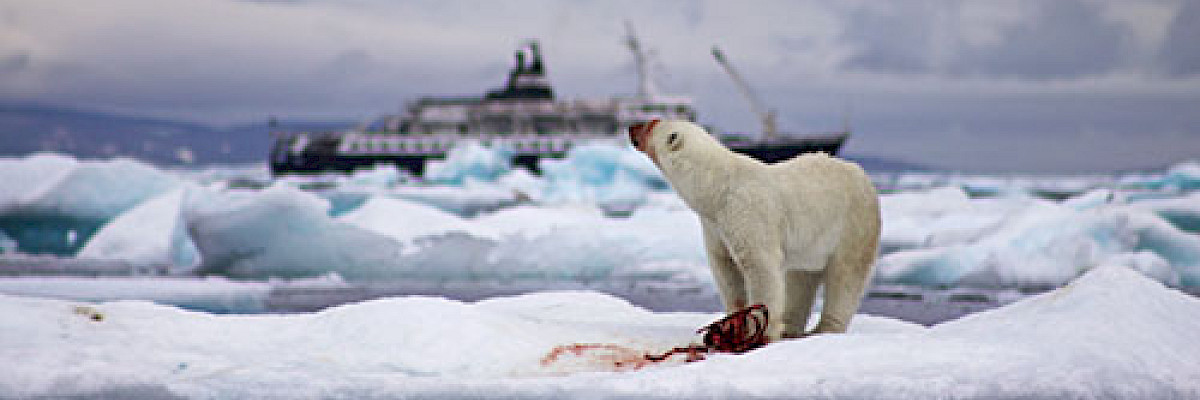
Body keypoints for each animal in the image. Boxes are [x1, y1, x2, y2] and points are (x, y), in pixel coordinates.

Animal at [628, 118, 883, 338]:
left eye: (651, 123)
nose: (631, 127)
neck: (717, 188)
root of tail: (862, 175)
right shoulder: (715, 224)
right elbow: (725, 267)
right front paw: (732, 325)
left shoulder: (747, 212)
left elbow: (760, 265)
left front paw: (760, 333)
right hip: (812, 242)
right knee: (801, 277)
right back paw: (790, 327)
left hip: (854, 224)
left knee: (846, 275)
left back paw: (824, 329)